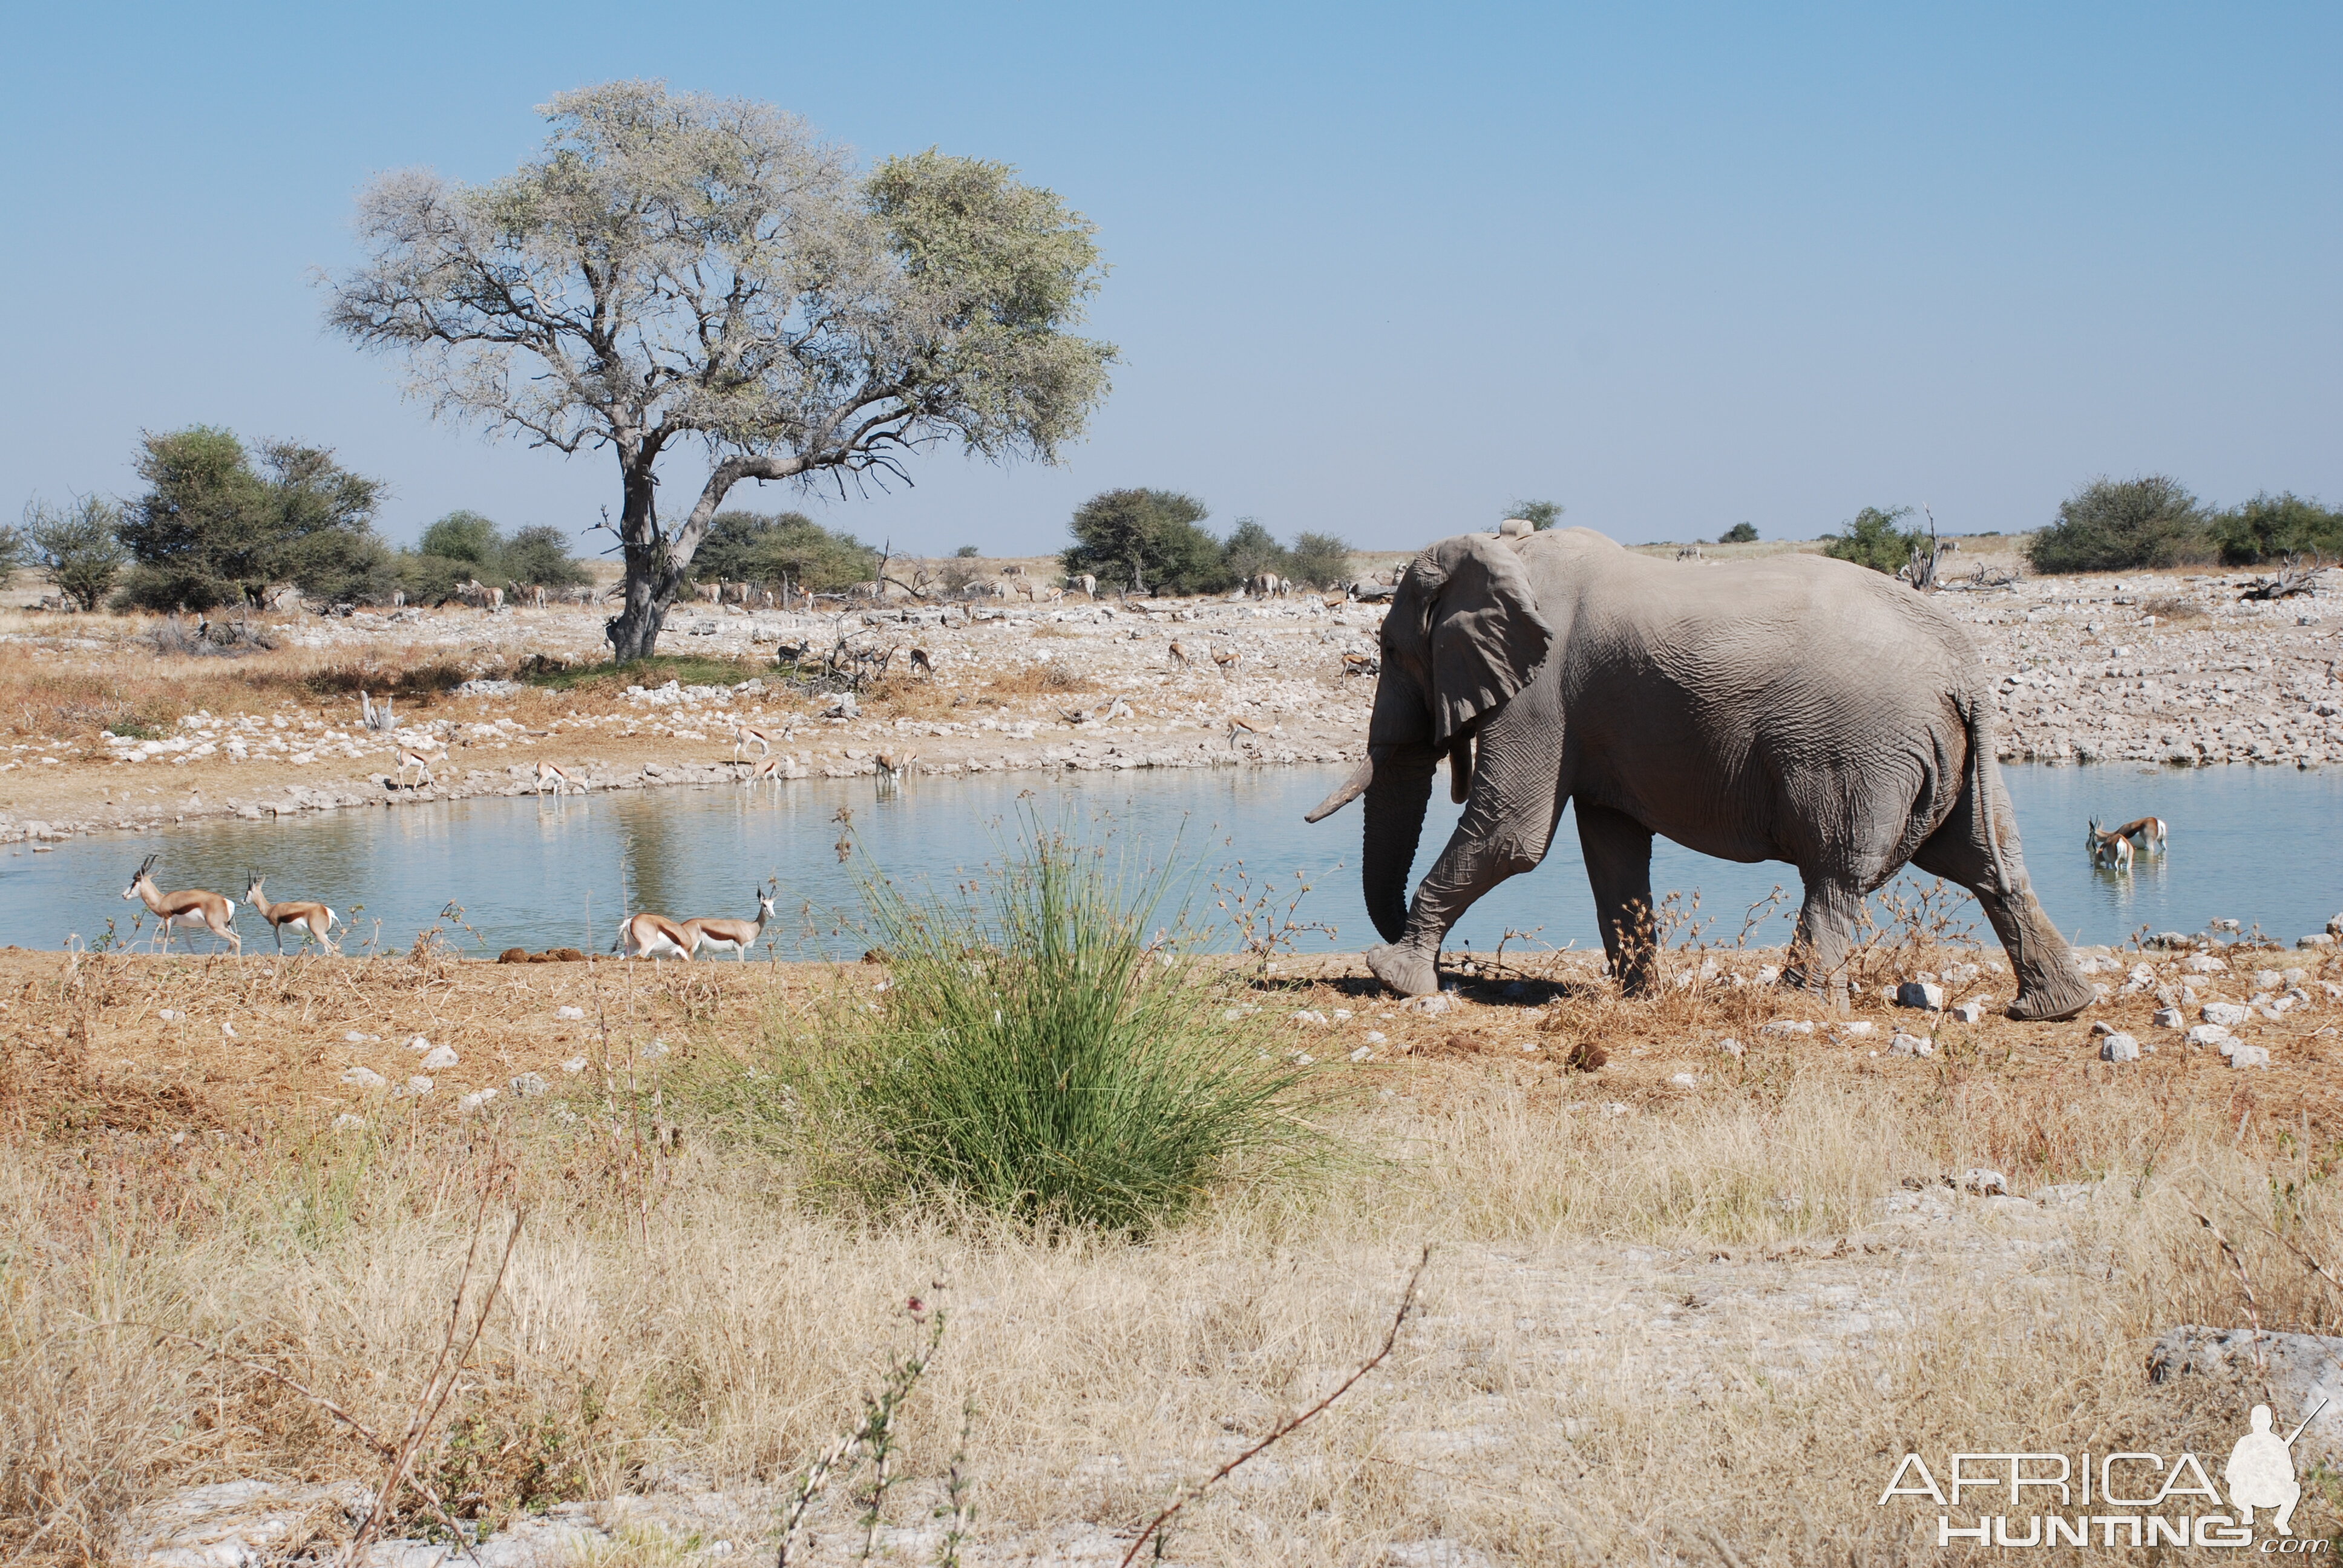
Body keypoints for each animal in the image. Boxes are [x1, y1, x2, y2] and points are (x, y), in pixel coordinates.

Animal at [122, 858, 238, 956]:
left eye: (134, 883)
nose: (124, 895)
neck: (162, 900)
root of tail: (225, 901)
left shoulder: (168, 920)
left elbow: (165, 940)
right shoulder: (185, 926)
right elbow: (189, 944)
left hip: (216, 926)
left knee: (236, 939)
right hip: (226, 925)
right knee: (234, 940)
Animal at [244, 867, 337, 956]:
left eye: (247, 892)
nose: (243, 902)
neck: (270, 910)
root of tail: (326, 911)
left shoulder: (278, 929)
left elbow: (281, 950)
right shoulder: (274, 931)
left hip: (319, 934)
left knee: (333, 947)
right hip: (325, 934)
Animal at [1312, 524, 2099, 1022]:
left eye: (1391, 650)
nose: (1391, 930)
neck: (1506, 549)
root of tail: (1964, 671)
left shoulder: (1540, 693)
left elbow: (1511, 833)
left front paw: (1393, 976)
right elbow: (1612, 850)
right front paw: (1637, 998)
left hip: (1856, 751)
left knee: (1837, 873)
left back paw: (1797, 1008)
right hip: (1942, 754)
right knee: (1987, 865)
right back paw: (2056, 1009)